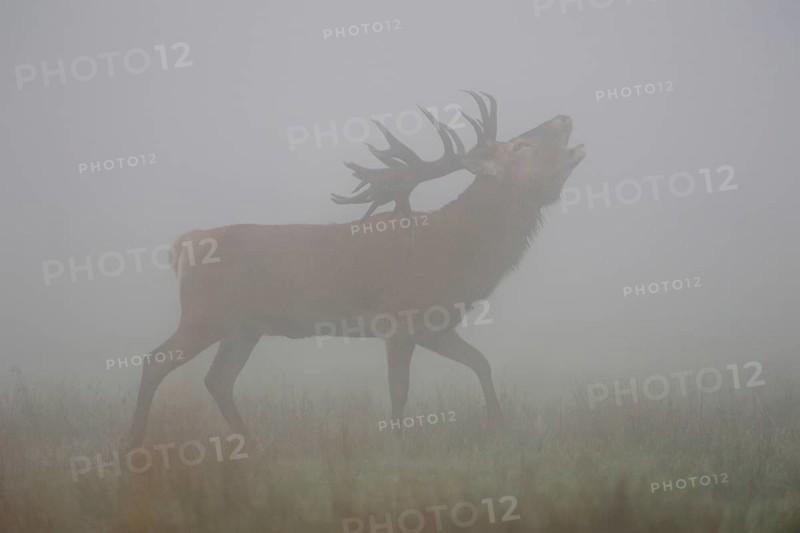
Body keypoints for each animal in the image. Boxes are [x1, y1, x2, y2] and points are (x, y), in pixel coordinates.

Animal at [126, 91, 585, 448]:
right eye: (521, 145)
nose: (564, 118)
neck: (456, 252)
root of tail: (184, 245)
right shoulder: (400, 319)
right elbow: (399, 390)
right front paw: (399, 445)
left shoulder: (436, 326)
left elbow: (481, 363)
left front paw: (498, 425)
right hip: (204, 314)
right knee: (156, 361)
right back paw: (133, 445)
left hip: (244, 327)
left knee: (218, 379)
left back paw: (251, 444)